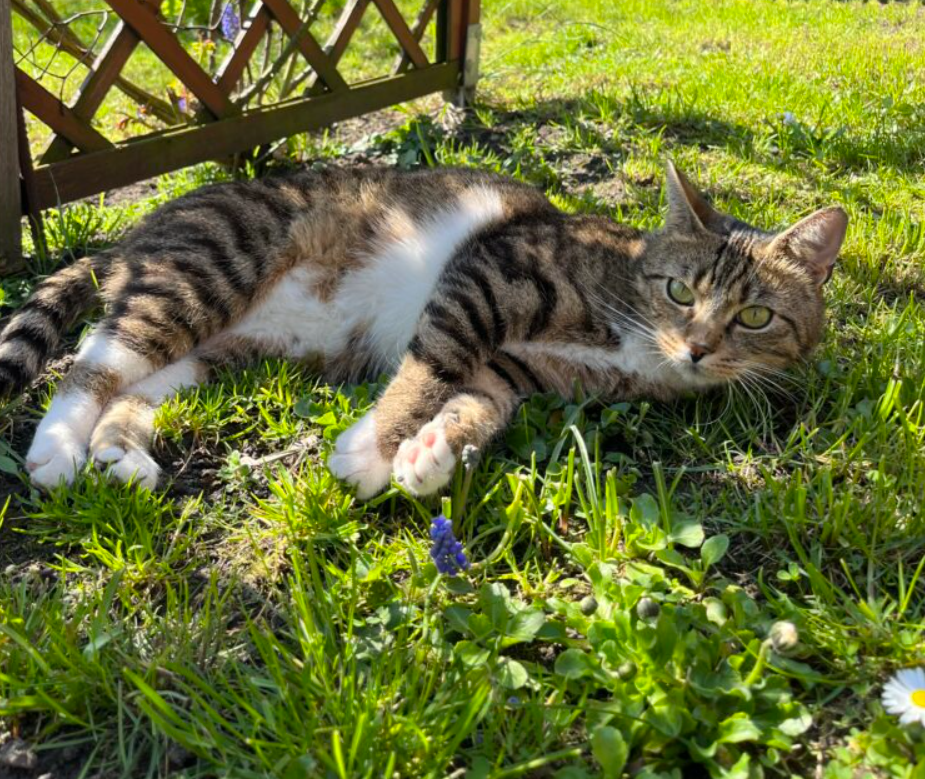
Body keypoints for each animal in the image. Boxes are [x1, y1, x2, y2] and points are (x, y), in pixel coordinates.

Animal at [0, 162, 846, 498]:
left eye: (755, 315)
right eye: (679, 292)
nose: (697, 347)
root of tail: (131, 235)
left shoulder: (522, 370)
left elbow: (480, 401)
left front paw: (430, 452)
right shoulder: (489, 276)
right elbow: (432, 362)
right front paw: (372, 447)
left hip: (222, 349)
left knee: (138, 383)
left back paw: (119, 449)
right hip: (205, 271)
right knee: (93, 361)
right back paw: (56, 447)